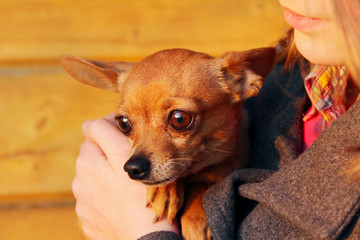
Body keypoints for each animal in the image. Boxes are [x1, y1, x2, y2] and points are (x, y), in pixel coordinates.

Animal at [60, 47, 274, 239]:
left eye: (179, 119)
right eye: (123, 123)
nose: (133, 167)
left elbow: (204, 183)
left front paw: (195, 218)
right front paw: (164, 190)